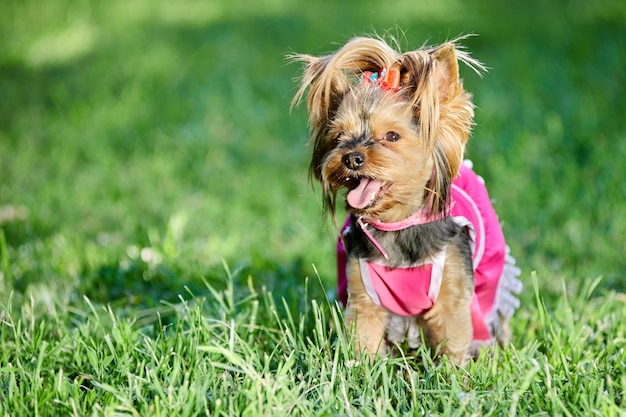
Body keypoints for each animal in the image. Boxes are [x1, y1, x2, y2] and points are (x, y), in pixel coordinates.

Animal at [292, 35, 520, 364]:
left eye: (392, 136)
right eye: (339, 137)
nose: (352, 158)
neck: (397, 224)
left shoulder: (452, 298)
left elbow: (455, 341)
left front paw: (455, 375)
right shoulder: (364, 297)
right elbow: (364, 339)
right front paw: (363, 371)